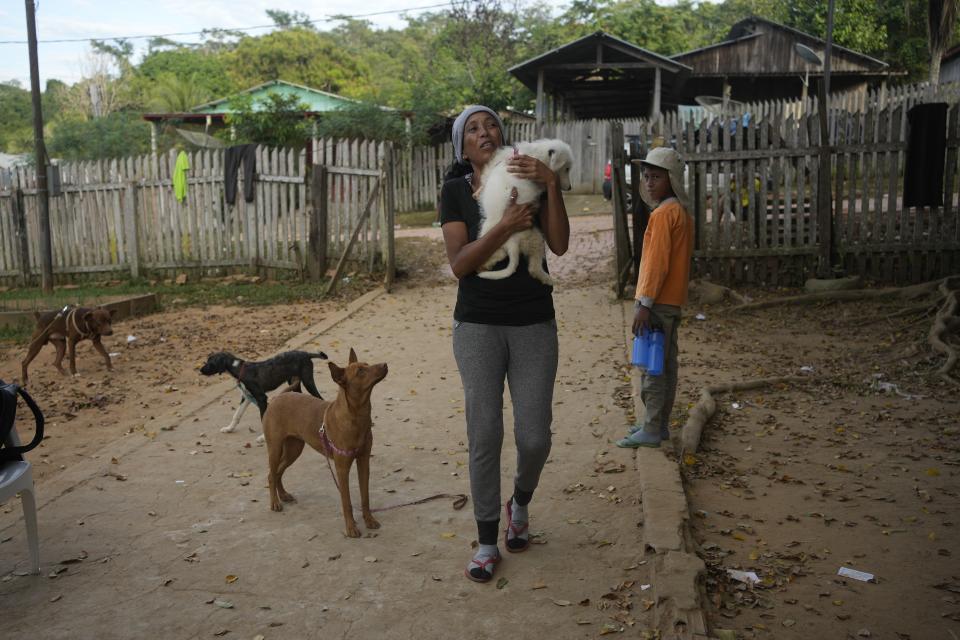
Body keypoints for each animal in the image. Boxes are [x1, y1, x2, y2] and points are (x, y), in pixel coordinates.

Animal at [200, 350, 330, 436]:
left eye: (210, 363)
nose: (200, 370)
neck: (240, 369)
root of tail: (306, 353)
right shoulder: (247, 396)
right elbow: (237, 414)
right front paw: (229, 428)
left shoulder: (261, 398)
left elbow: (263, 419)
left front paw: (263, 437)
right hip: (294, 383)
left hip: (307, 381)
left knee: (320, 398)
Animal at [260, 348, 388, 536]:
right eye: (360, 371)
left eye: (366, 364)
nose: (385, 364)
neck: (356, 417)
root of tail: (278, 397)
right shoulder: (342, 469)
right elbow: (347, 501)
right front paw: (351, 527)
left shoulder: (364, 462)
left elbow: (365, 497)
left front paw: (369, 520)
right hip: (275, 448)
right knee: (271, 474)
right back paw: (275, 502)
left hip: (294, 449)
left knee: (278, 472)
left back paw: (283, 495)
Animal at [476, 138, 572, 284]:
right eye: (566, 169)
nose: (570, 187)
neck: (536, 155)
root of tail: (513, 243)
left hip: (529, 238)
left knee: (514, 259)